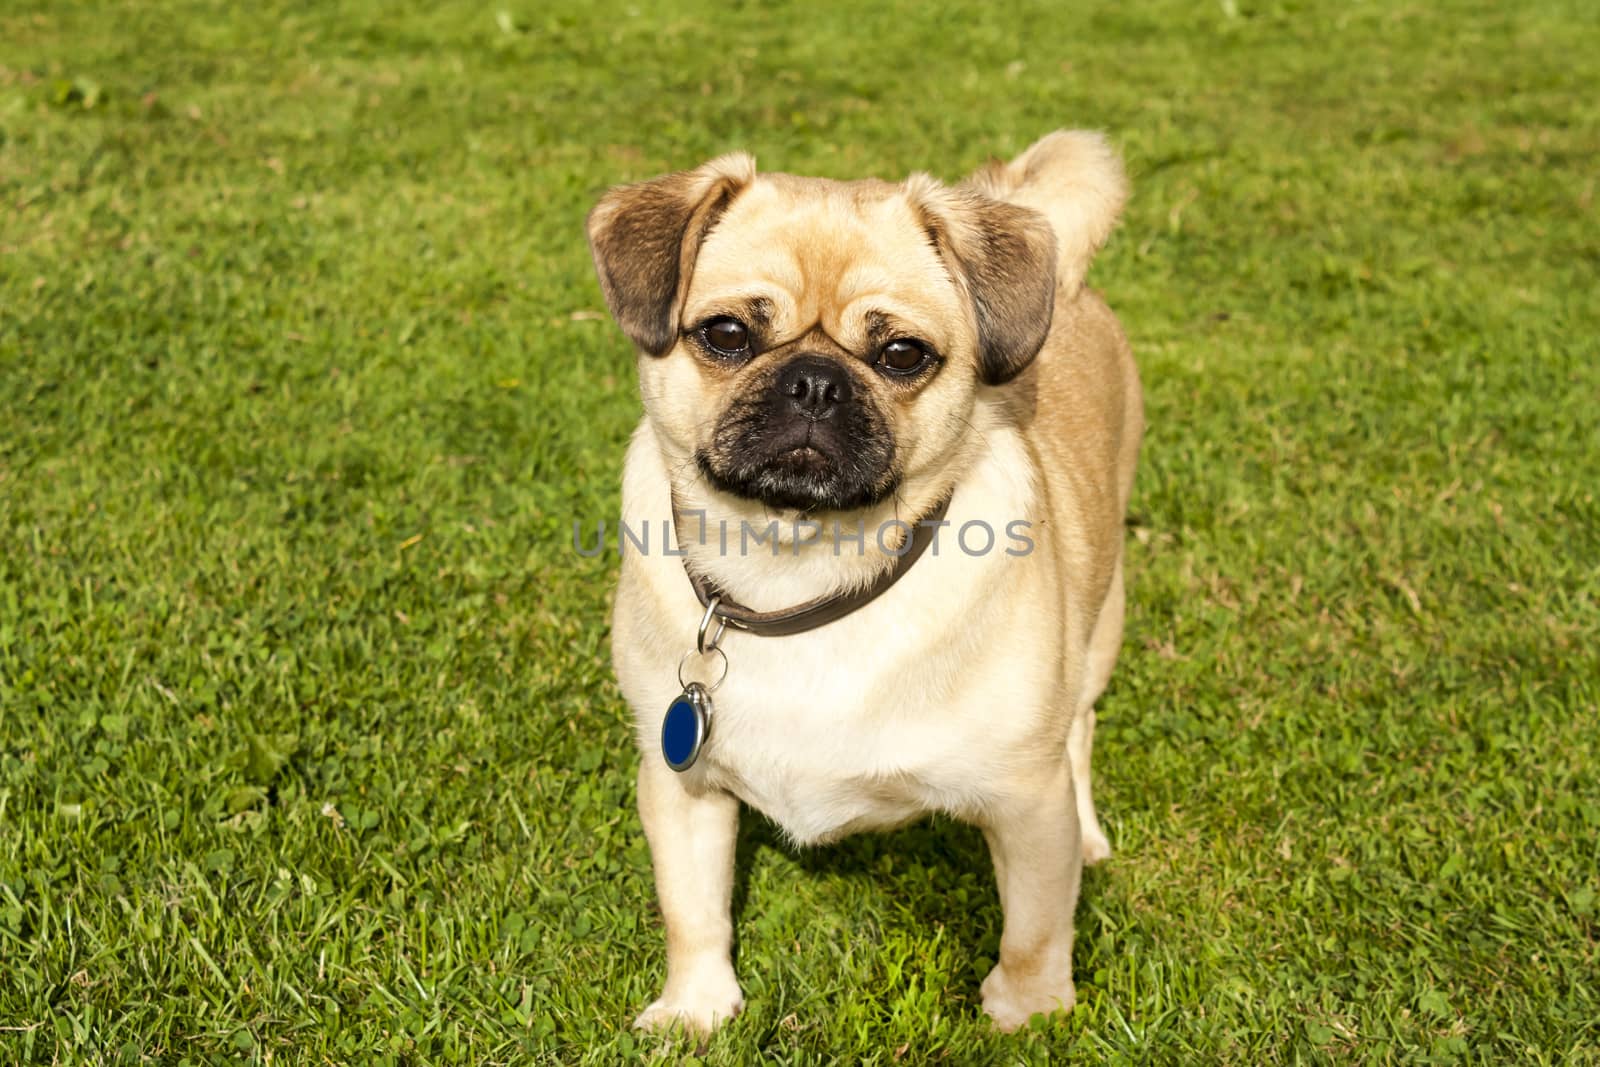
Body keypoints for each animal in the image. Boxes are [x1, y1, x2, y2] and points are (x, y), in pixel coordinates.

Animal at [585, 131, 1139, 1036]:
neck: (800, 576)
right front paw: (697, 1007)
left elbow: (1033, 929)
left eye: (901, 354)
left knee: (1082, 736)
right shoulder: (682, 784)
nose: (814, 379)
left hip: (1099, 632)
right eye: (726, 334)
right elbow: (693, 909)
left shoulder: (1027, 803)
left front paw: (1029, 1016)